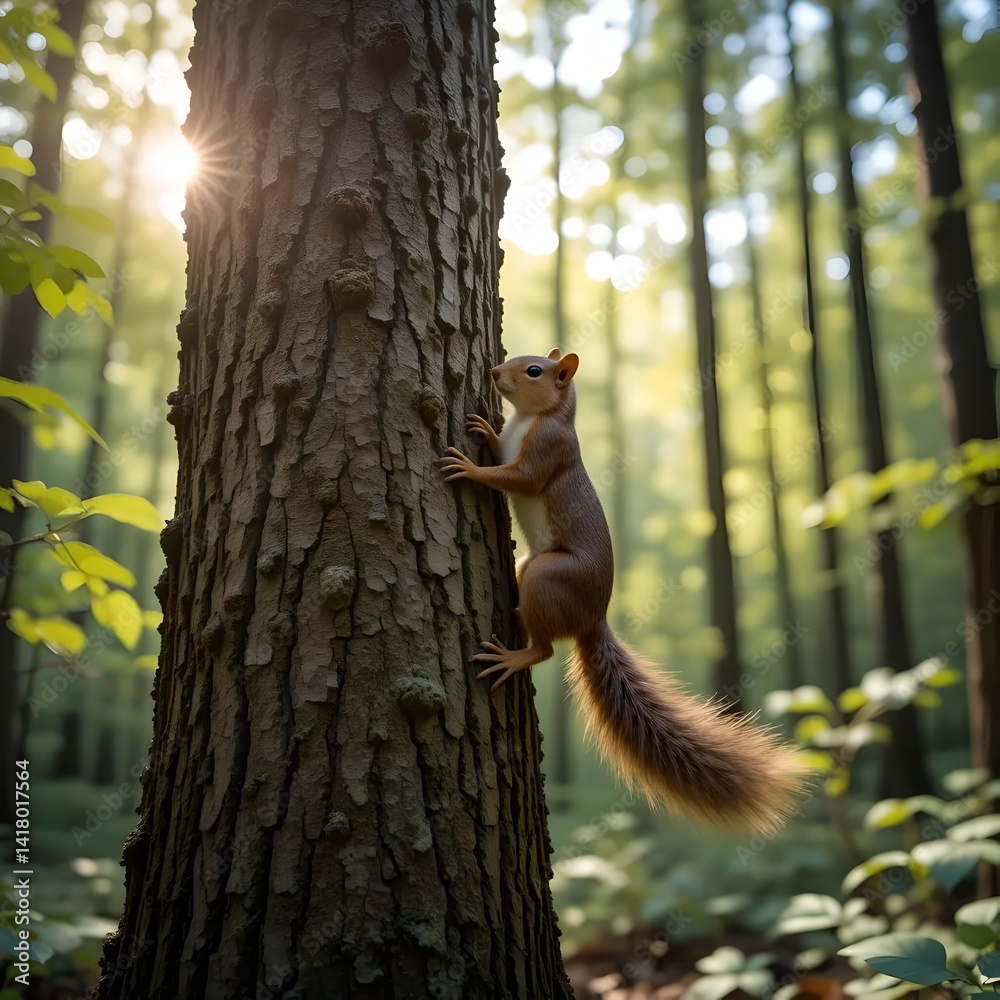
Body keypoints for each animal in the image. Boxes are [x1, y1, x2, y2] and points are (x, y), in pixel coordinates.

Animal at [436, 349, 809, 834]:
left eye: (535, 371)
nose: (496, 373)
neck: (531, 419)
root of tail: (594, 617)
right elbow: (502, 451)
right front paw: (484, 429)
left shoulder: (548, 450)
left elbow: (518, 478)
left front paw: (470, 467)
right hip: (528, 568)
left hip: (548, 576)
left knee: (545, 650)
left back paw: (513, 657)